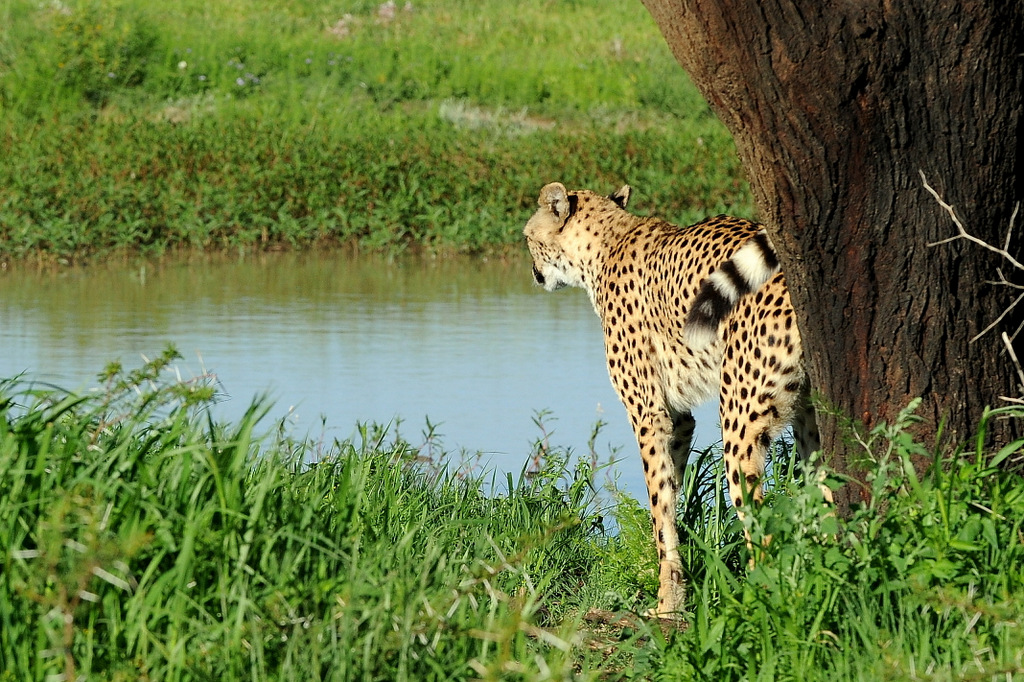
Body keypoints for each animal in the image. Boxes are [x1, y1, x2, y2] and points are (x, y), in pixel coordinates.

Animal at [524, 180, 819, 614]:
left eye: (528, 238)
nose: (534, 273)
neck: (606, 243)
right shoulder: (679, 417)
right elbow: (670, 495)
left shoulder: (648, 414)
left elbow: (658, 509)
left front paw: (666, 603)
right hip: (810, 415)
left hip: (740, 421)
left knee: (760, 524)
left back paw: (758, 599)